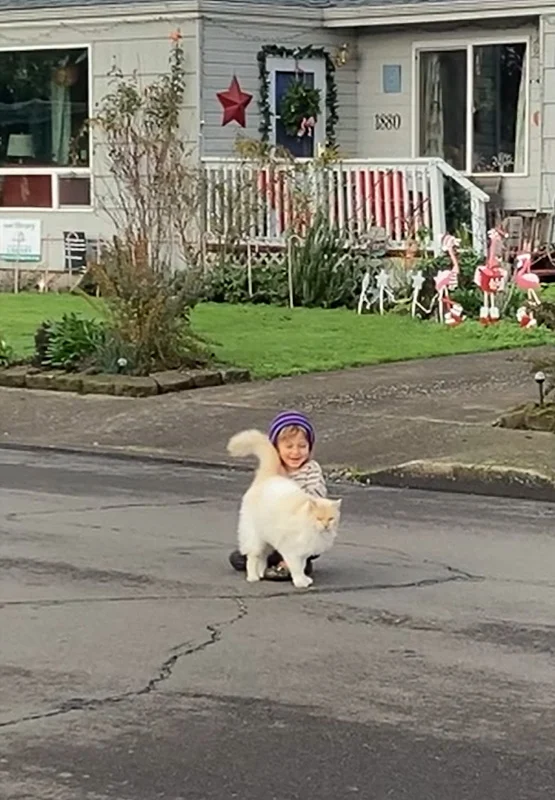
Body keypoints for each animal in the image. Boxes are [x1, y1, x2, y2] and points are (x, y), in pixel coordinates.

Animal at [227, 432, 340, 588]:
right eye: (318, 518)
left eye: (331, 519)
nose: (326, 525)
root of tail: (267, 477)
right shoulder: (292, 551)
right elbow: (296, 568)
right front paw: (300, 582)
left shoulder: (303, 553)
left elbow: (302, 566)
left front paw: (304, 579)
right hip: (255, 537)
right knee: (252, 557)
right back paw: (252, 577)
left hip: (267, 539)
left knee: (262, 557)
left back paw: (262, 573)